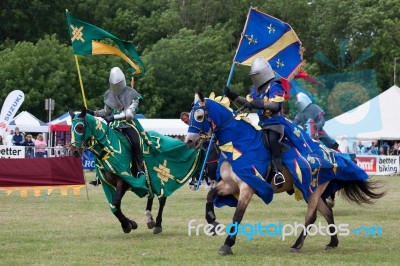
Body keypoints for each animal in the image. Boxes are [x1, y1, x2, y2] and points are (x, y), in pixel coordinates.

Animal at [69, 109, 205, 234]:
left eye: (80, 127)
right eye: (71, 128)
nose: (74, 151)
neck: (108, 149)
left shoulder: (123, 181)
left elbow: (115, 203)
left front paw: (127, 225)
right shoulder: (107, 184)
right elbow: (114, 206)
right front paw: (130, 223)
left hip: (161, 177)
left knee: (162, 198)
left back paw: (157, 225)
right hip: (150, 180)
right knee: (151, 196)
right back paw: (149, 218)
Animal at [186, 92, 386, 255]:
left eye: (199, 116)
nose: (189, 141)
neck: (239, 143)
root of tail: (333, 156)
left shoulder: (247, 186)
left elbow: (238, 215)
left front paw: (227, 244)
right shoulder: (229, 185)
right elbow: (210, 195)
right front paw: (213, 223)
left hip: (312, 188)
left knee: (312, 216)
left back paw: (297, 245)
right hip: (311, 191)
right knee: (327, 212)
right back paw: (332, 242)